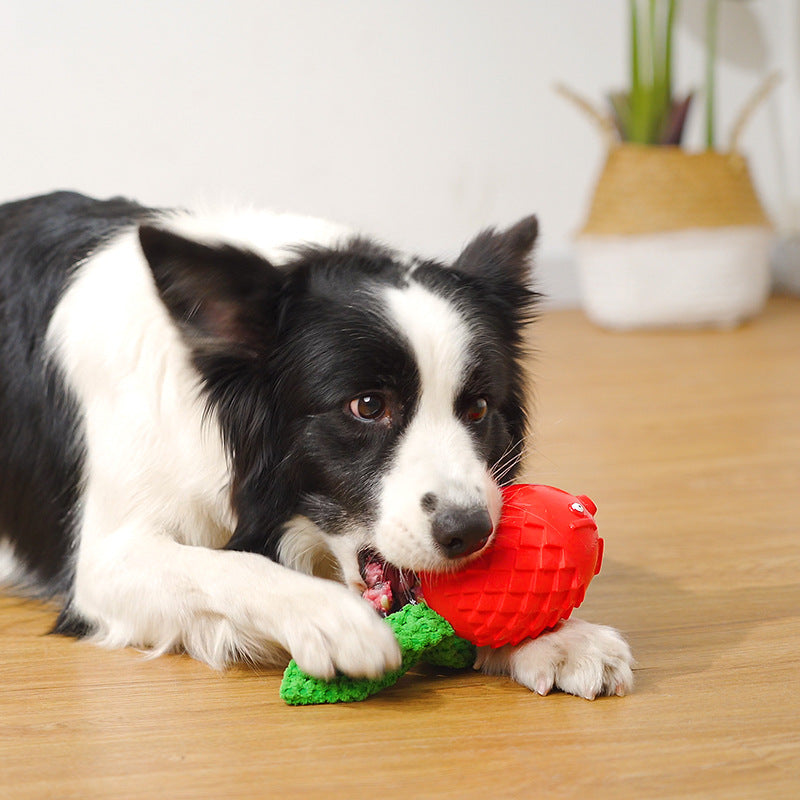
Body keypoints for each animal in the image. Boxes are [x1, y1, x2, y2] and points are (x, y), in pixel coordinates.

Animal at [1, 191, 636, 696]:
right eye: (367, 406)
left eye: (478, 408)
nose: (470, 531)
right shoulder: (101, 567)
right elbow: (223, 566)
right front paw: (332, 617)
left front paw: (557, 638)